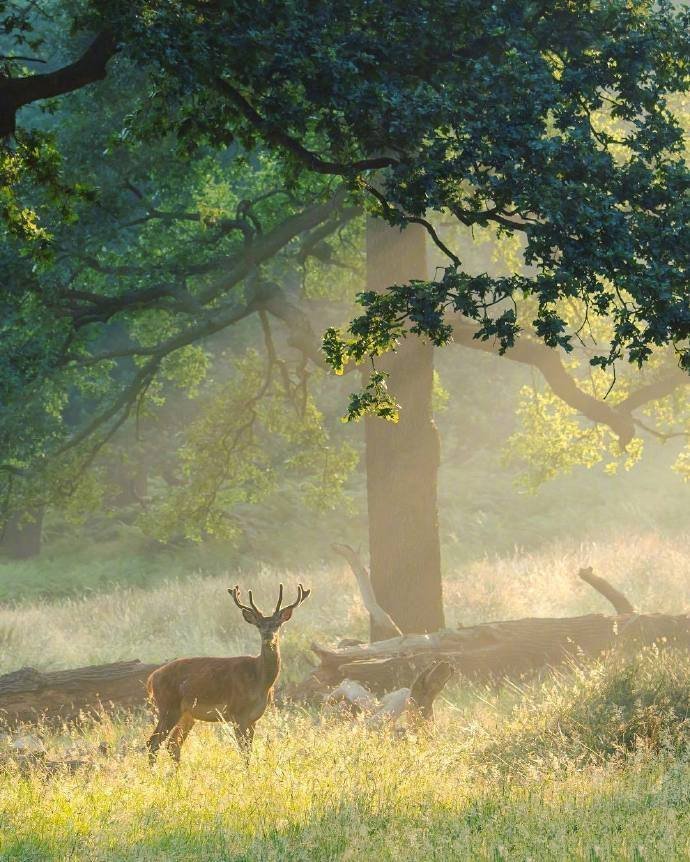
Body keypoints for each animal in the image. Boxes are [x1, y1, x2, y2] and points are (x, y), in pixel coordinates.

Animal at [145, 588, 310, 764]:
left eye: (277, 624)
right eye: (259, 625)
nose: (268, 637)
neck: (260, 680)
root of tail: (152, 678)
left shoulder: (253, 718)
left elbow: (248, 750)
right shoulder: (238, 713)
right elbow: (244, 752)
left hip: (186, 714)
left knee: (172, 744)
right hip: (168, 707)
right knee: (153, 743)